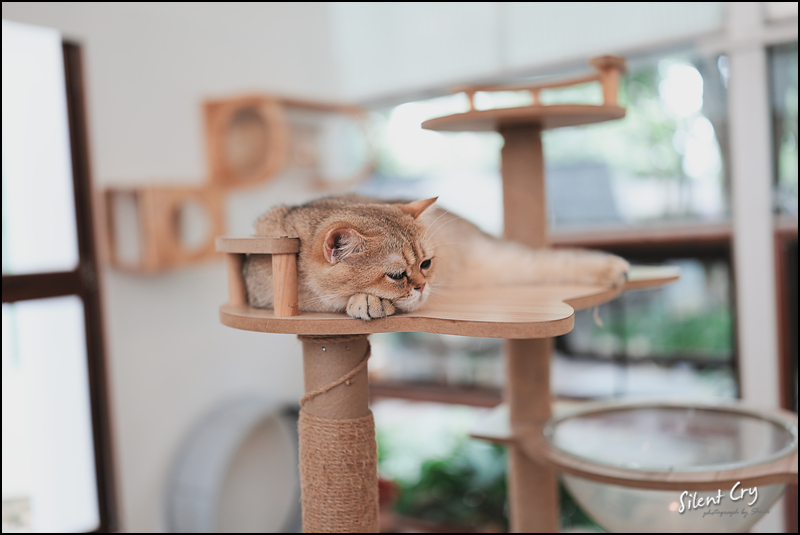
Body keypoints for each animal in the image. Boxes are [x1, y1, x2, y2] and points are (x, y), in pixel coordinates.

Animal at [243, 195, 629, 320]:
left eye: (425, 264)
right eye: (397, 275)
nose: (423, 286)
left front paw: (365, 302)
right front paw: (366, 301)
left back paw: (618, 269)